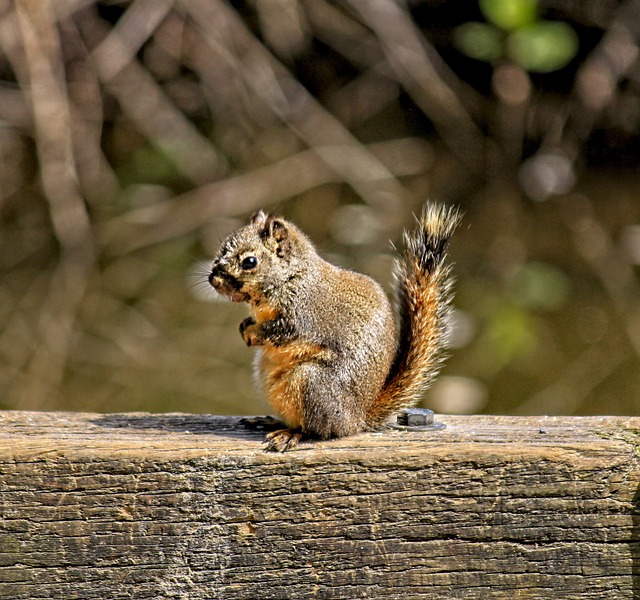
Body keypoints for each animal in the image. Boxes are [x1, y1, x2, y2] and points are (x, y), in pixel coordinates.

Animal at [209, 205, 460, 450]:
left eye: (249, 262)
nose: (213, 280)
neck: (292, 277)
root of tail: (356, 420)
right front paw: (245, 325)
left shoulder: (300, 317)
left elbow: (279, 331)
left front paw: (251, 333)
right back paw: (270, 422)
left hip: (313, 384)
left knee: (316, 430)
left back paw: (290, 436)